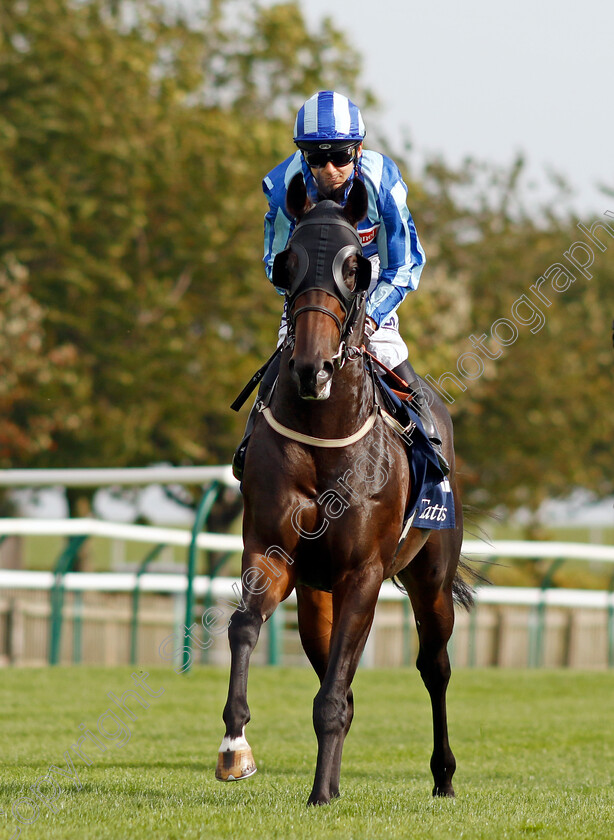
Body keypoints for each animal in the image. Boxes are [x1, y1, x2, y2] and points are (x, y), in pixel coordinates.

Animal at [217, 172, 472, 808]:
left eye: (356, 266)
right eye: (287, 263)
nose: (312, 368)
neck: (323, 433)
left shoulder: (364, 573)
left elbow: (334, 693)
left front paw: (318, 793)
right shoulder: (272, 553)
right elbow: (243, 627)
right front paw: (235, 748)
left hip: (430, 578)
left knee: (434, 666)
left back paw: (443, 775)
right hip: (317, 595)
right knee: (333, 664)